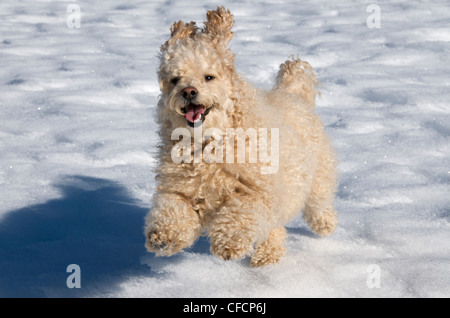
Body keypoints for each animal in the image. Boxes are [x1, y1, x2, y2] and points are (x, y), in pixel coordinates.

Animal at [145, 7, 338, 266]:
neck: (210, 143)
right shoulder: (180, 190)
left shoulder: (257, 192)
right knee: (275, 229)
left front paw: (229, 242)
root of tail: (291, 93)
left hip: (317, 176)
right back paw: (268, 255)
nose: (188, 91)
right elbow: (173, 210)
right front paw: (163, 236)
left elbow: (240, 215)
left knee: (318, 202)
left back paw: (324, 224)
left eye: (208, 77)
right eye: (175, 80)